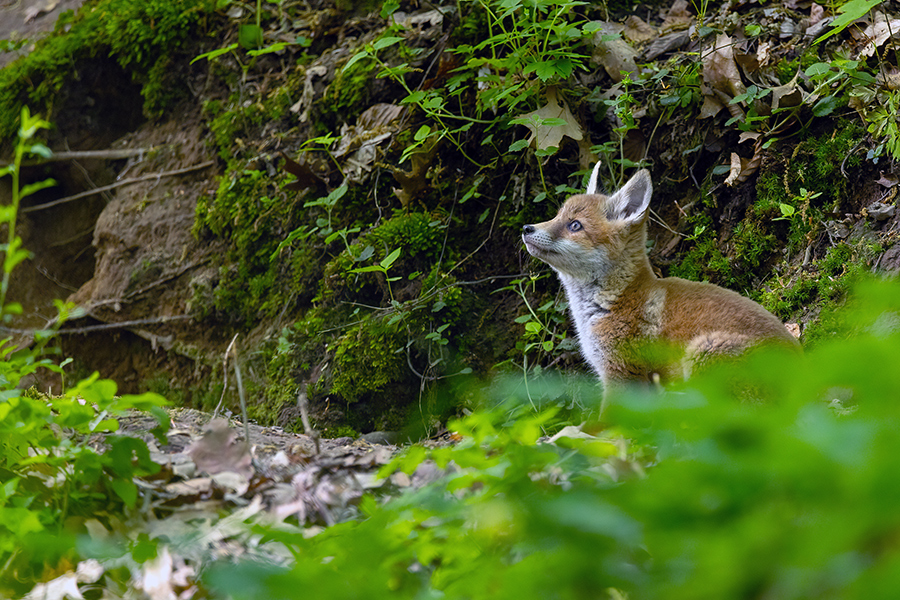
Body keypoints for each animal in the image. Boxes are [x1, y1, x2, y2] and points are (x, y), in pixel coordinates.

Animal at [522, 164, 801, 398]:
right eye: (557, 216)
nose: (526, 228)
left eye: (575, 225)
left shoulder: (622, 372)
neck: (612, 302)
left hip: (704, 352)